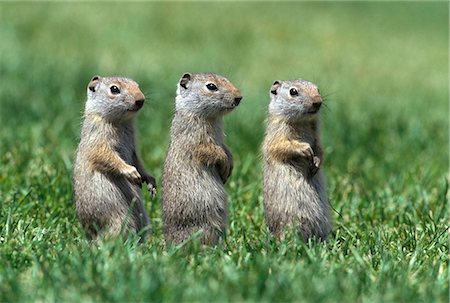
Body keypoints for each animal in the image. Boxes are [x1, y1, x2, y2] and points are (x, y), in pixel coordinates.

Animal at [74, 75, 156, 242]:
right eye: (114, 89)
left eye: (137, 85)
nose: (141, 99)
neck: (121, 122)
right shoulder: (98, 140)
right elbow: (107, 157)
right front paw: (131, 173)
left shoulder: (133, 149)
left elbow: (138, 162)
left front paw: (150, 181)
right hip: (120, 219)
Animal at [162, 72, 243, 246]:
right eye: (211, 86)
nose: (239, 97)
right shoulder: (196, 140)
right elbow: (212, 151)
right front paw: (225, 165)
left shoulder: (221, 141)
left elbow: (226, 150)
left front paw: (229, 168)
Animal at [262, 79, 332, 242]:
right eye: (293, 91)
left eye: (317, 89)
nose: (318, 102)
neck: (301, 122)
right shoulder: (277, 133)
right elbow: (281, 146)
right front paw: (305, 149)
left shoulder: (317, 135)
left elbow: (319, 149)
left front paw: (316, 163)